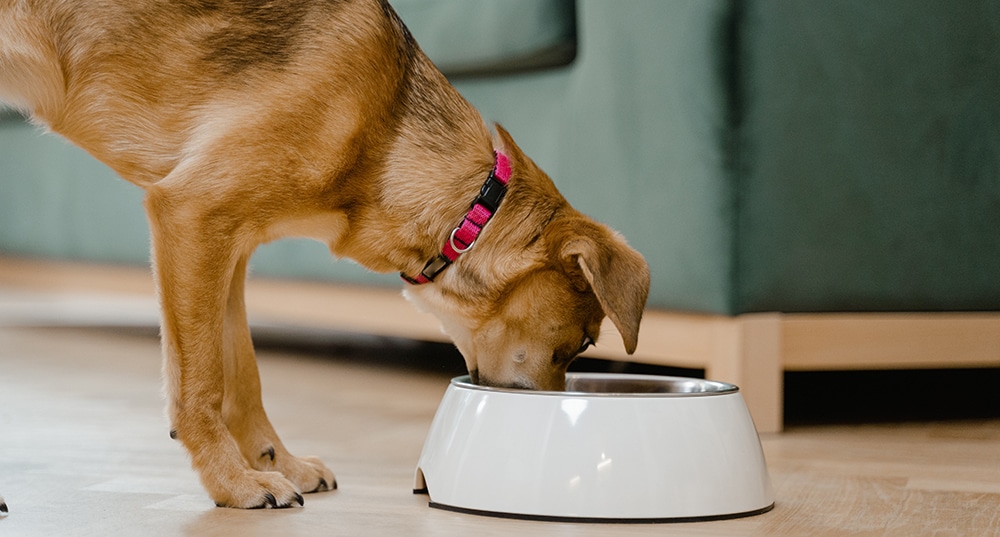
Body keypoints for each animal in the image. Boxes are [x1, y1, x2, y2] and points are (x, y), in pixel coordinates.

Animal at [0, 0, 648, 506]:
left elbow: (243, 375)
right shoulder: (190, 215)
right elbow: (202, 382)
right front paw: (233, 484)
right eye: (583, 343)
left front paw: (275, 463)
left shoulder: (227, 247)